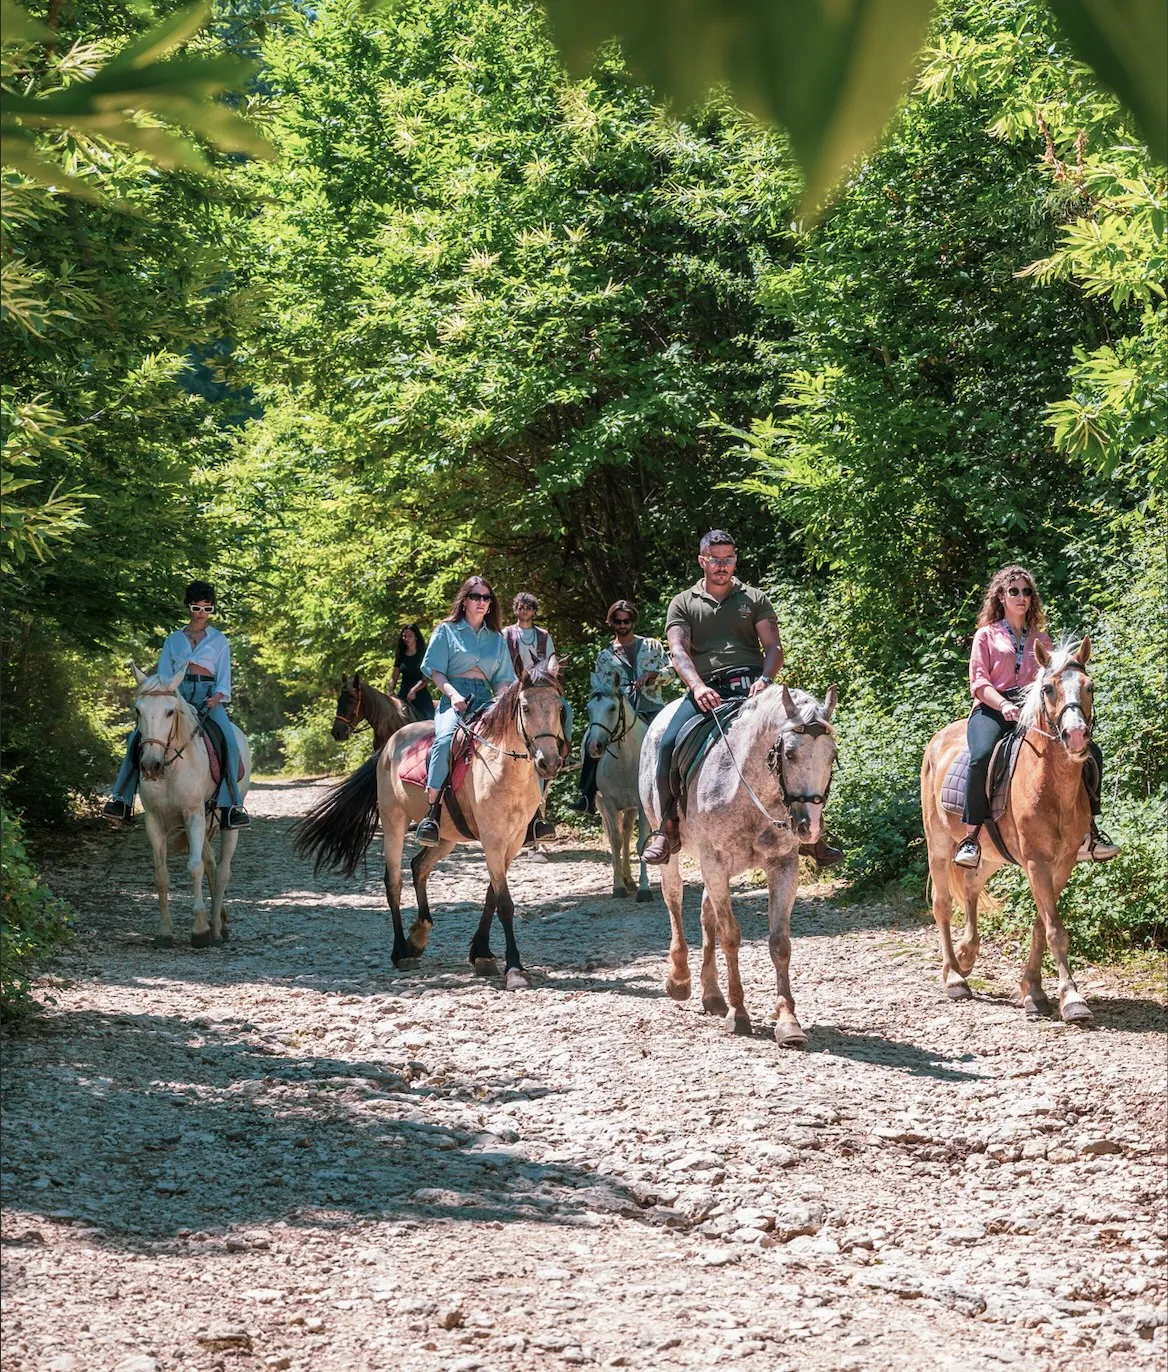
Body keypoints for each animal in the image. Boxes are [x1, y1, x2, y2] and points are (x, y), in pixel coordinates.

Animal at [129, 665, 252, 948]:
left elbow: (194, 867)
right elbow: (161, 875)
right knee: (211, 863)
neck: (171, 766)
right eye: (138, 710)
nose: (150, 766)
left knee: (222, 870)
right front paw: (165, 932)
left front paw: (199, 930)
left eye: (170, 711)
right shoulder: (154, 820)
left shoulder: (193, 815)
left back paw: (216, 927)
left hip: (226, 822)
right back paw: (220, 922)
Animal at [294, 668, 566, 989]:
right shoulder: (493, 840)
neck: (503, 770)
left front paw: (482, 953)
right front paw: (514, 969)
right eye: (525, 708)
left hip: (445, 836)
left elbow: (492, 896)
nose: (549, 762)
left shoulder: (511, 843)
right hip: (393, 822)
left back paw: (418, 935)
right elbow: (504, 903)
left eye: (559, 708)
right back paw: (401, 951)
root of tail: (388, 746)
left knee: (418, 866)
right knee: (394, 881)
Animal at [584, 674, 653, 901]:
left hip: (630, 808)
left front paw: (644, 889)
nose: (594, 746)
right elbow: (615, 841)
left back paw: (630, 880)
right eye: (589, 709)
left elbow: (641, 844)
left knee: (627, 834)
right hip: (602, 806)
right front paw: (618, 887)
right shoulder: (609, 803)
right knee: (618, 837)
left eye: (612, 708)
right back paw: (623, 879)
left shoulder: (641, 805)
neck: (625, 759)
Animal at [639, 684, 838, 1047]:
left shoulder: (782, 865)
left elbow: (779, 943)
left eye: (831, 755)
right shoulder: (715, 861)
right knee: (674, 898)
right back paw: (679, 980)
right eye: (789, 754)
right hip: (678, 854)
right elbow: (730, 936)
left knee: (706, 913)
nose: (809, 827)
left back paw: (712, 995)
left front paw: (788, 1022)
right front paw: (739, 1014)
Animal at [921, 637, 1098, 1024]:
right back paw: (954, 977)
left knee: (970, 885)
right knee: (942, 904)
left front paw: (1033, 990)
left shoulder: (1062, 862)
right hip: (938, 846)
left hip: (989, 854)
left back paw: (967, 954)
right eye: (1048, 689)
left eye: (1089, 686)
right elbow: (1054, 929)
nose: (1077, 736)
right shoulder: (1035, 861)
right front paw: (1071, 998)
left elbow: (1042, 924)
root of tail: (938, 739)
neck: (1050, 785)